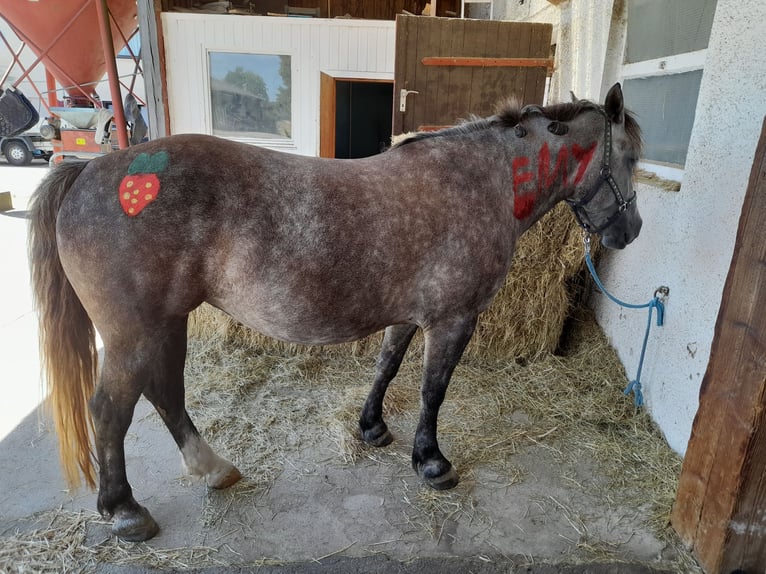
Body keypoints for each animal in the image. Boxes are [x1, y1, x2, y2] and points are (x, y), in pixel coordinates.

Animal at [28, 83, 640, 544]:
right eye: (632, 158)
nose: (628, 232)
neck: (478, 182)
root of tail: (91, 171)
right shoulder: (452, 320)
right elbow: (433, 390)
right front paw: (432, 462)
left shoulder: (408, 315)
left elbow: (387, 368)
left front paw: (373, 429)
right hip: (133, 332)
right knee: (111, 411)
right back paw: (125, 511)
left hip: (164, 323)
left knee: (164, 393)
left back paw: (213, 468)